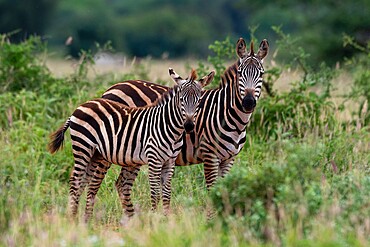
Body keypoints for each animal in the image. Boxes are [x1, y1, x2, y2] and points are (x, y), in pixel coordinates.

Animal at [48, 68, 215, 222]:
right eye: (181, 99)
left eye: (199, 101)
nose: (189, 126)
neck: (169, 127)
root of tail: (81, 106)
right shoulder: (154, 160)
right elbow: (155, 193)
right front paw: (154, 220)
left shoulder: (169, 161)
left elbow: (167, 194)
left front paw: (167, 220)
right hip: (83, 148)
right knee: (76, 183)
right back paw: (72, 220)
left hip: (94, 153)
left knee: (84, 182)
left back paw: (83, 221)